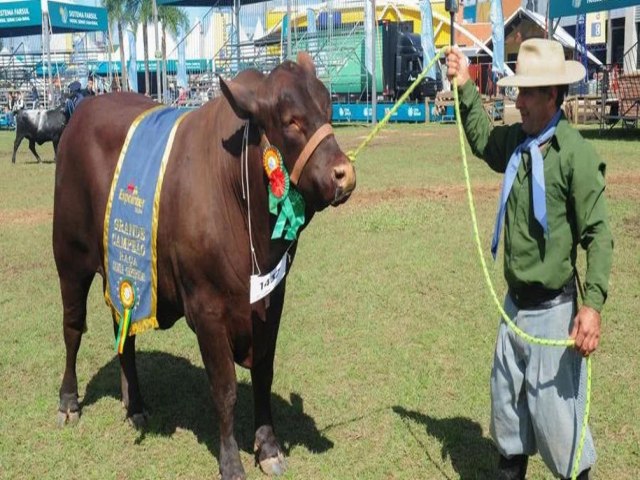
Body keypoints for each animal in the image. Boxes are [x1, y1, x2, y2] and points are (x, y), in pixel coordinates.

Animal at [53, 50, 358, 478]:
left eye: (328, 108)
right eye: (291, 121)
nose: (344, 175)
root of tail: (83, 110)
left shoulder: (272, 300)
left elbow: (263, 374)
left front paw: (268, 447)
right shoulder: (207, 308)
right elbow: (225, 388)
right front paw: (231, 461)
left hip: (123, 271)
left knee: (124, 333)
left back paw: (136, 406)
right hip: (70, 257)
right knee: (72, 328)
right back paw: (69, 402)